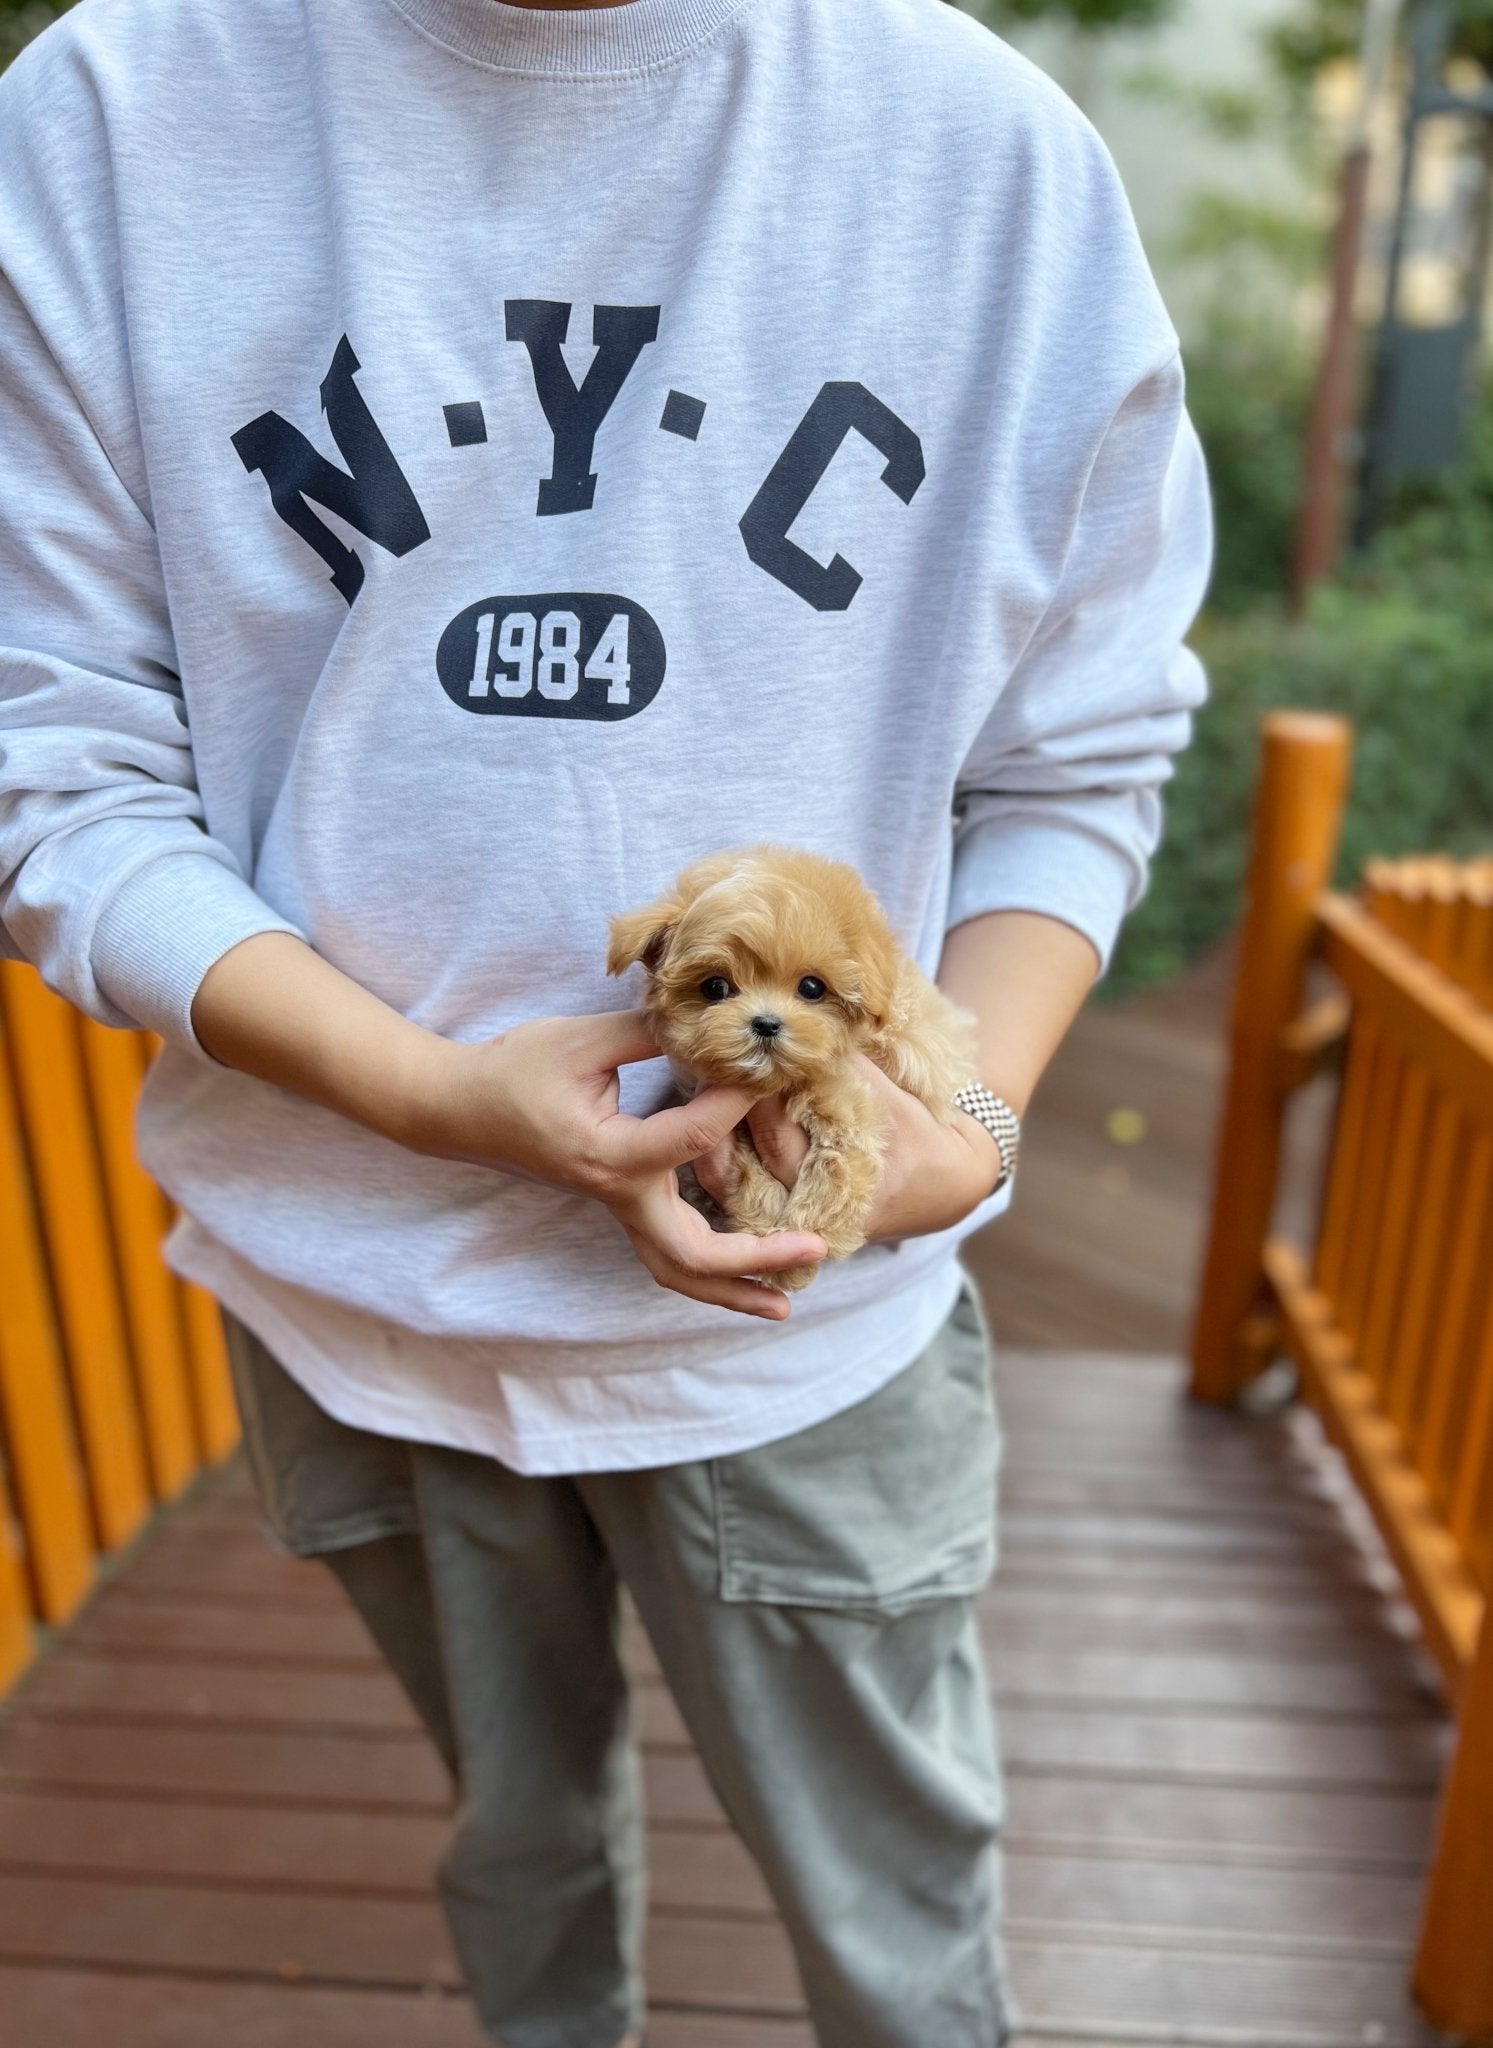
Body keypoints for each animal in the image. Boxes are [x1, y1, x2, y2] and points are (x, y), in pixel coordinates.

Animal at [606, 839, 978, 1286]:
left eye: (812, 988)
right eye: (715, 987)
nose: (765, 1023)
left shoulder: (851, 1099)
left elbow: (837, 1164)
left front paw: (806, 1240)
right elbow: (744, 1169)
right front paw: (769, 1231)